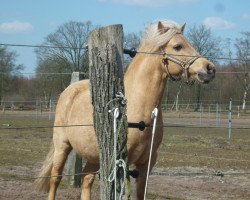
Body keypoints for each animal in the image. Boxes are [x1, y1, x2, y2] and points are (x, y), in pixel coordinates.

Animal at [34, 20, 216, 200]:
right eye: (178, 46)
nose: (209, 68)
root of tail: (69, 90)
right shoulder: (121, 163)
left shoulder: (146, 163)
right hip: (62, 145)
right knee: (55, 179)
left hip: (94, 155)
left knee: (86, 180)